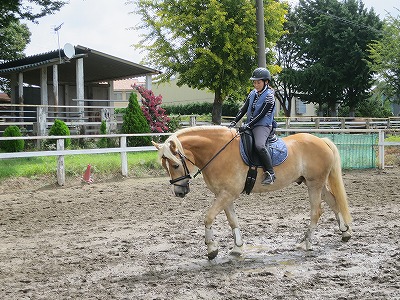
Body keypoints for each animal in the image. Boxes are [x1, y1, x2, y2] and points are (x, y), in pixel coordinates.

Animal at [152, 125, 352, 258]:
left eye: (175, 165)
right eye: (164, 167)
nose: (179, 192)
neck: (218, 152)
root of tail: (321, 140)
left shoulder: (227, 194)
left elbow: (208, 217)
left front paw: (211, 248)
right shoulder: (224, 195)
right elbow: (232, 221)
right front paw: (238, 247)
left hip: (314, 184)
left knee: (316, 211)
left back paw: (308, 242)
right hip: (315, 184)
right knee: (334, 202)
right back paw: (345, 232)